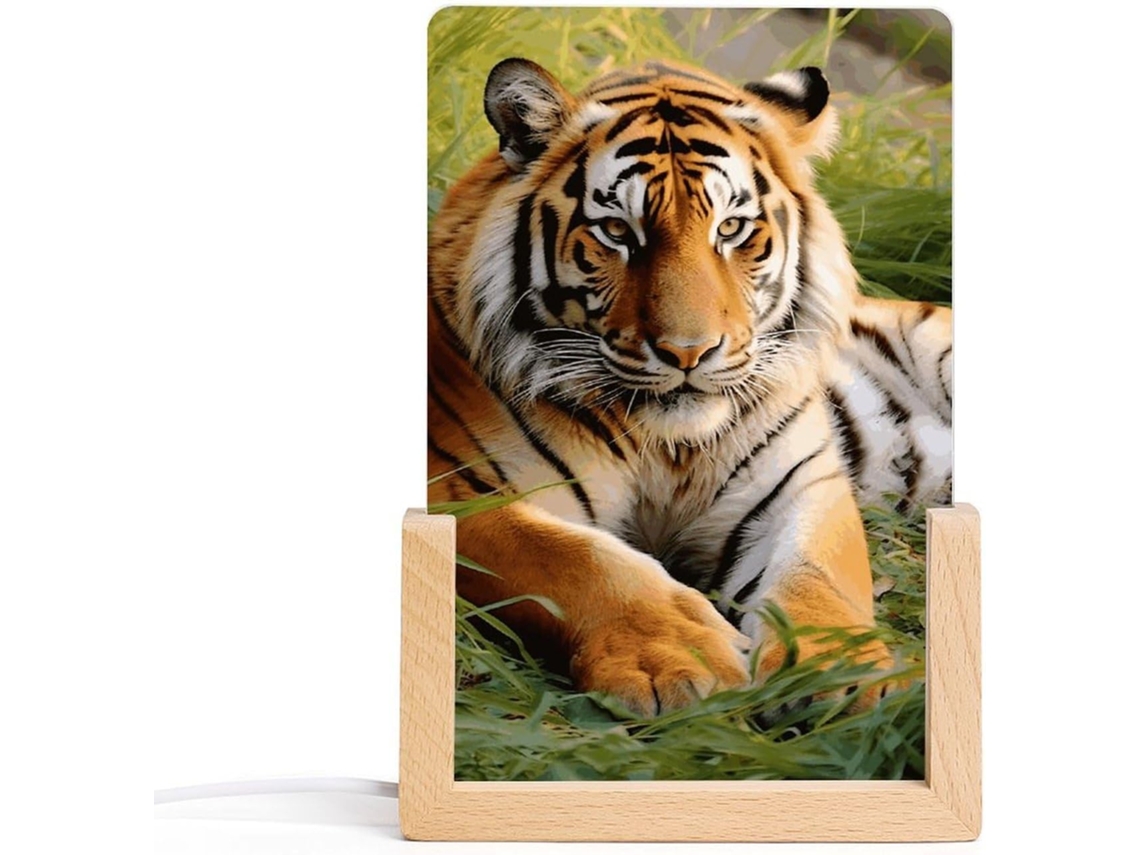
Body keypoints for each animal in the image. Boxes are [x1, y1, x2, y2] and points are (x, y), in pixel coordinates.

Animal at [428, 58, 951, 717]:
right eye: (616, 230)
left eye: (731, 228)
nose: (688, 352)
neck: (668, 447)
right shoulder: (457, 492)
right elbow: (571, 558)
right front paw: (679, 661)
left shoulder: (803, 483)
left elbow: (817, 573)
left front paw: (844, 674)